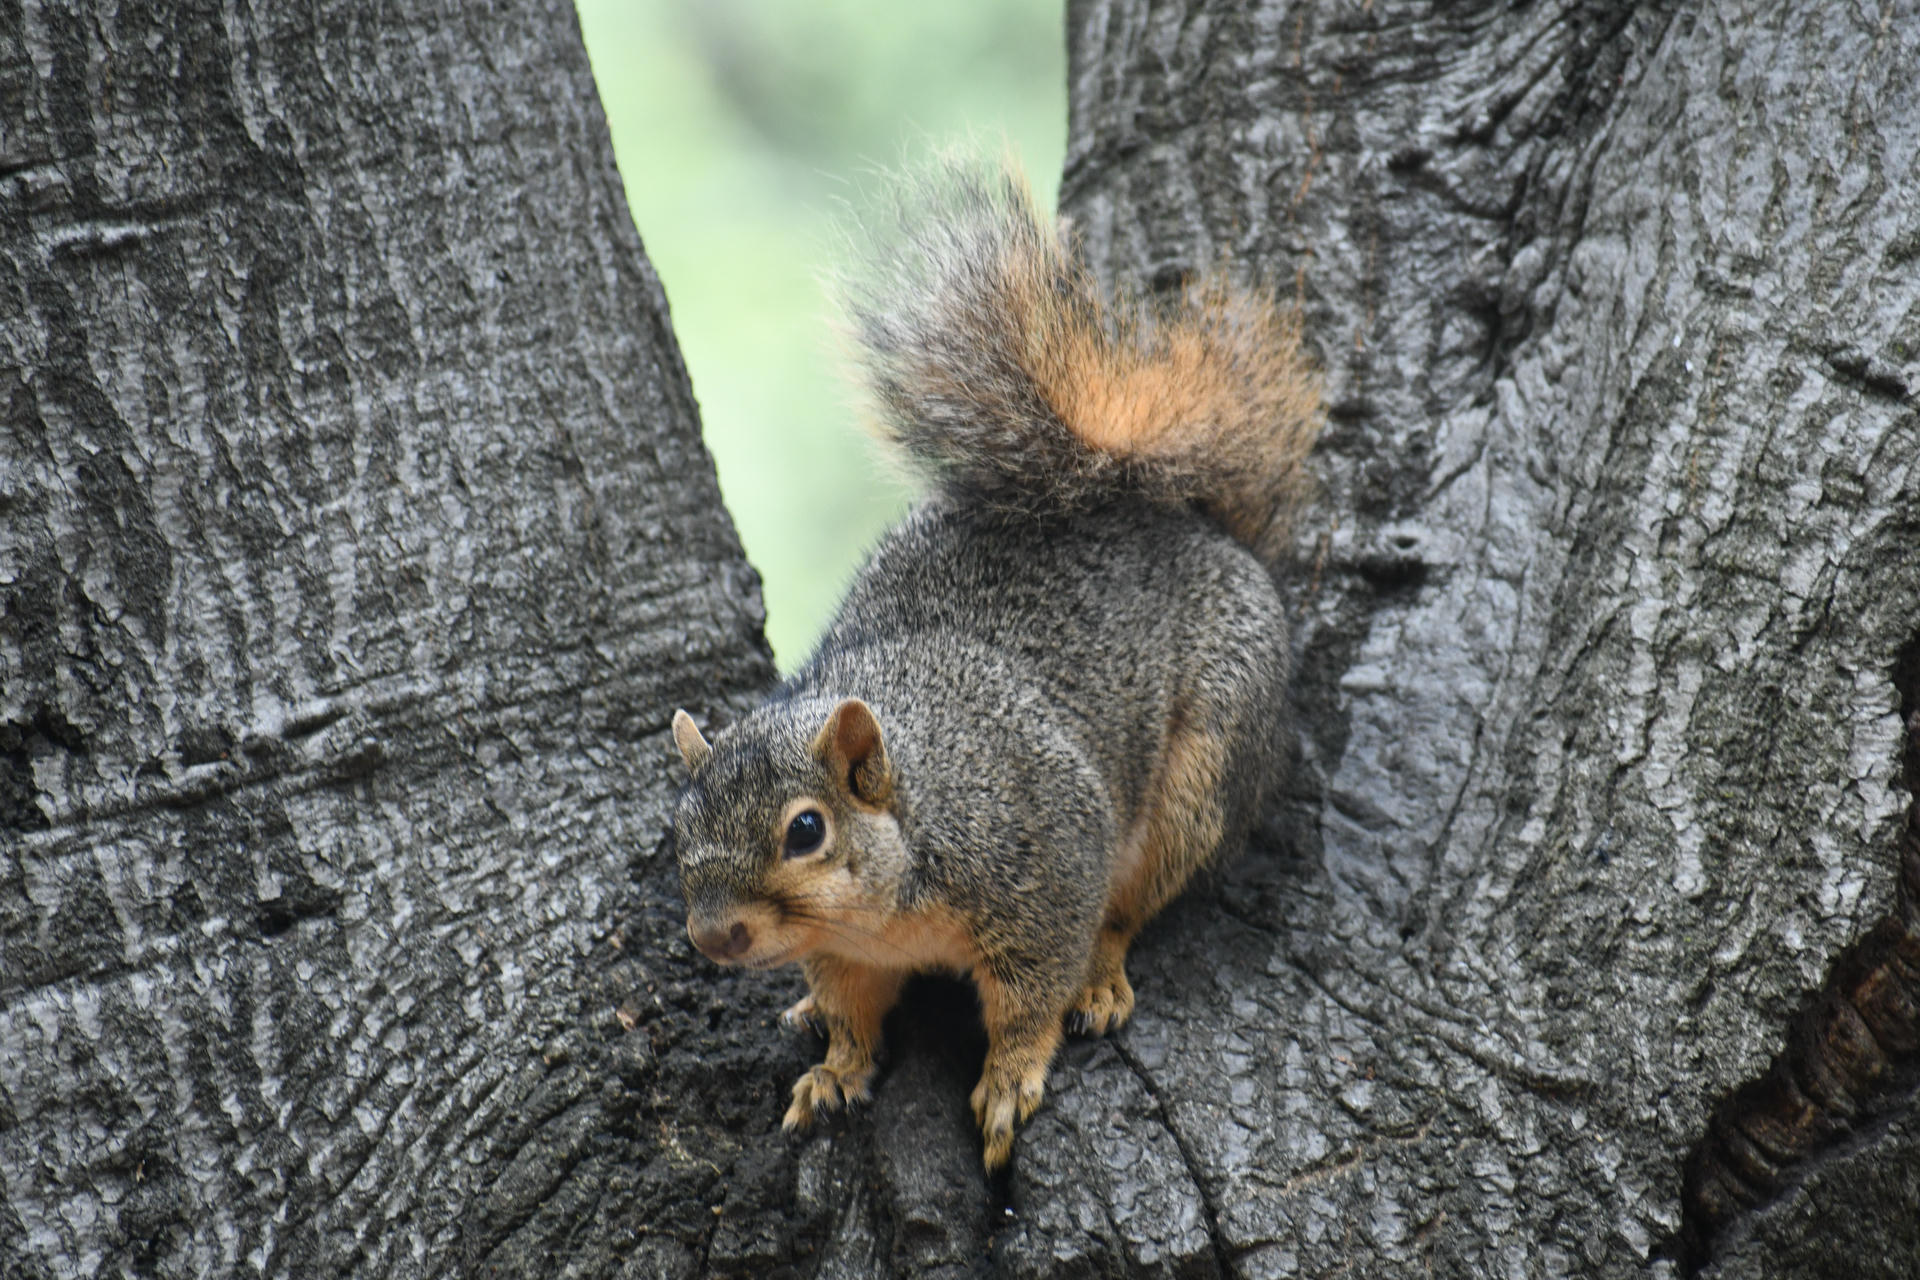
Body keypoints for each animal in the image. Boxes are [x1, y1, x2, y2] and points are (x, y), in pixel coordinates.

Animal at [668, 159, 1320, 1171]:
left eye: (807, 830)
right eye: (679, 827)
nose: (716, 936)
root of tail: (1201, 531)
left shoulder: (1043, 857)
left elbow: (1031, 995)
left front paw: (1011, 1076)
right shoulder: (850, 953)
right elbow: (853, 1013)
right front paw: (835, 1067)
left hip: (1204, 774)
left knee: (1130, 910)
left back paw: (1105, 978)